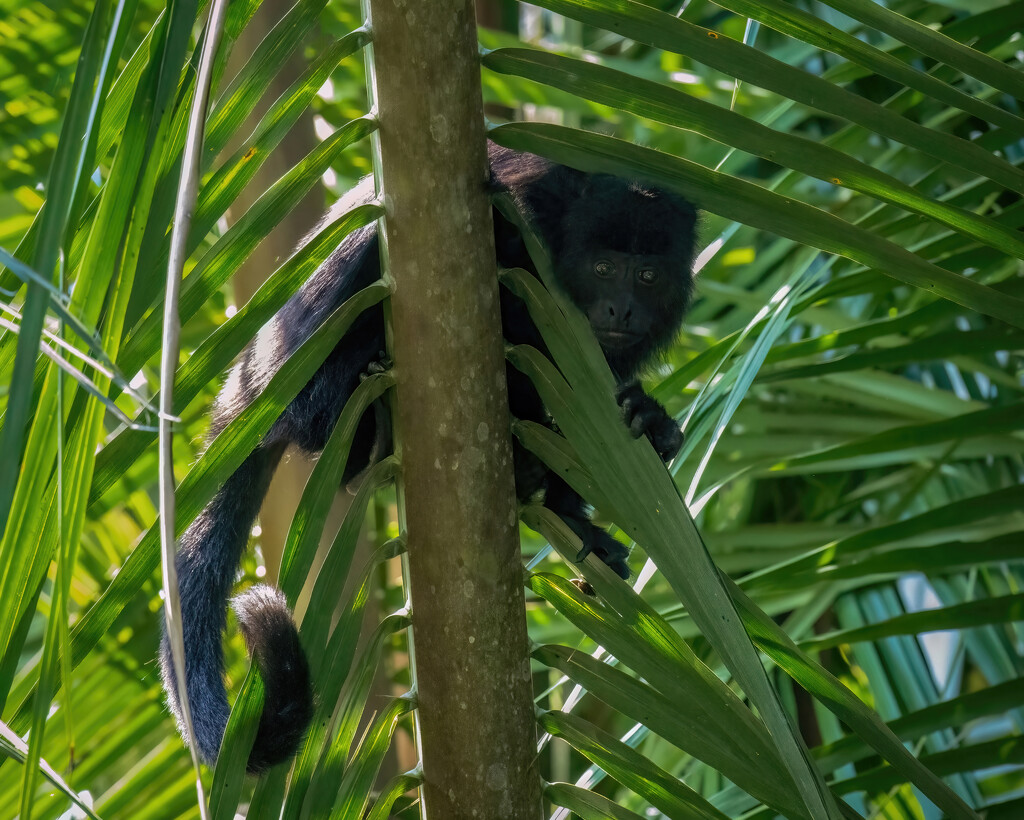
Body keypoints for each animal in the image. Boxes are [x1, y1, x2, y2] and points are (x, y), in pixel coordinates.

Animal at [161, 142, 696, 773]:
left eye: (648, 275)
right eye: (605, 269)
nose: (621, 309)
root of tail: (249, 380)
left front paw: (645, 432)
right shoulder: (530, 218)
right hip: (295, 362)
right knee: (361, 257)